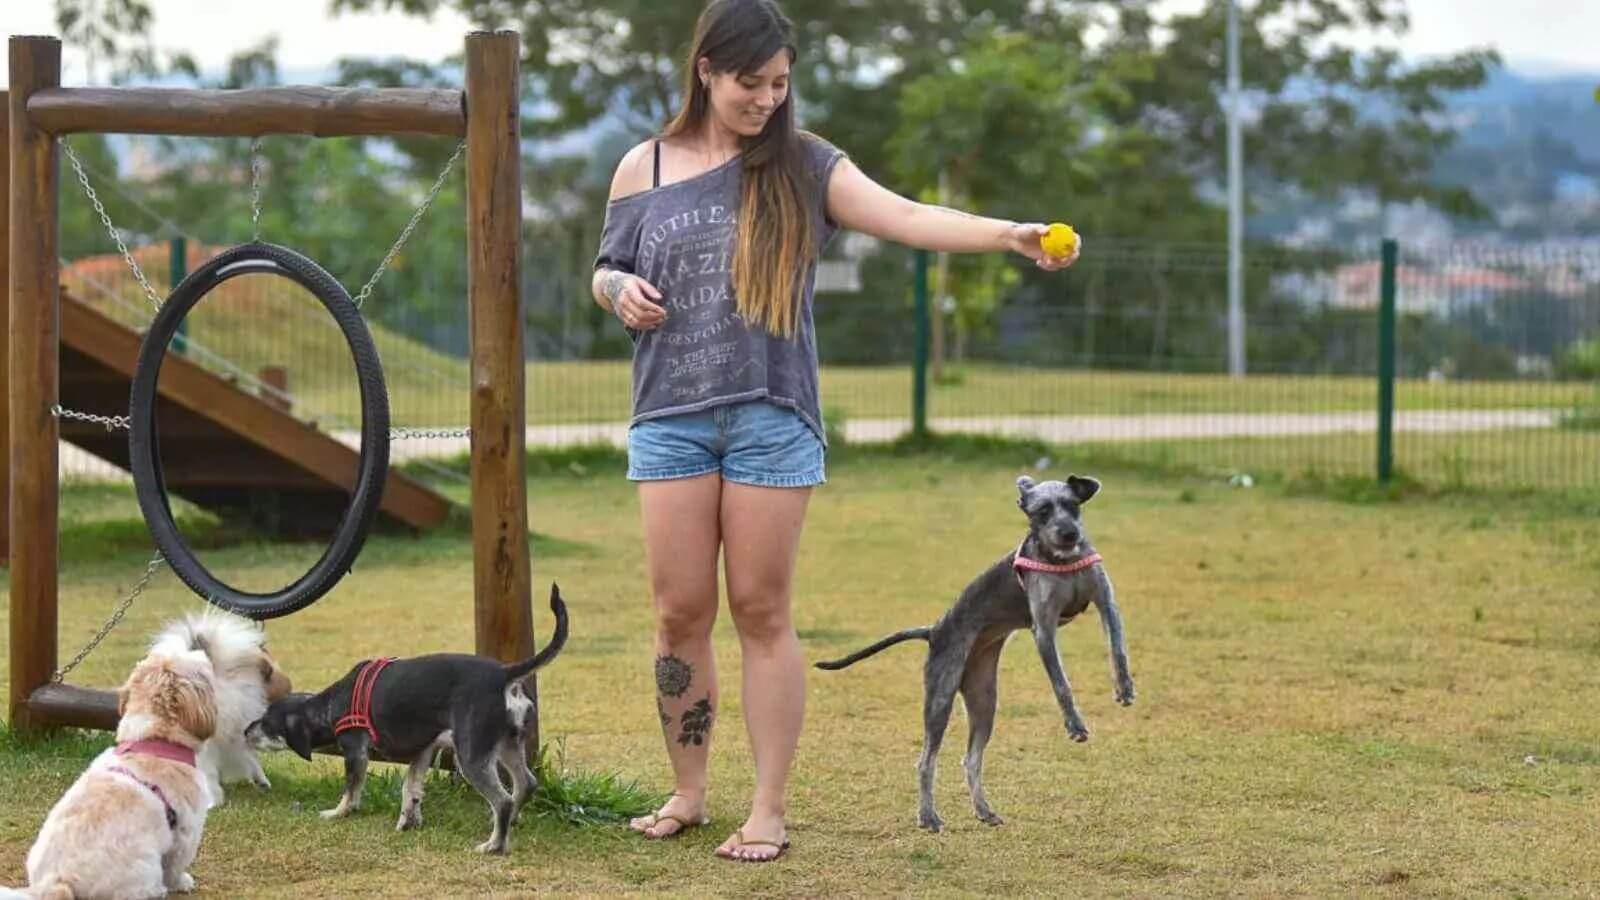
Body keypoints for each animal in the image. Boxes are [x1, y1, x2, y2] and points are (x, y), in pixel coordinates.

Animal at [2, 646, 219, 890]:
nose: (200, 648)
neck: (153, 741)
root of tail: (58, 880)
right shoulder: (185, 832)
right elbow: (175, 865)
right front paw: (182, 882)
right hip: (146, 868)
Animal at [812, 474, 1139, 832]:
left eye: (1072, 505)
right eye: (1042, 512)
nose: (1069, 534)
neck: (1062, 562)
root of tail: (934, 630)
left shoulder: (1106, 604)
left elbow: (1118, 649)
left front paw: (1124, 687)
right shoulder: (1044, 630)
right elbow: (1061, 684)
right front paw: (1075, 725)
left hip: (984, 701)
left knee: (971, 759)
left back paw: (984, 810)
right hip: (940, 697)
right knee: (926, 760)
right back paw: (928, 816)